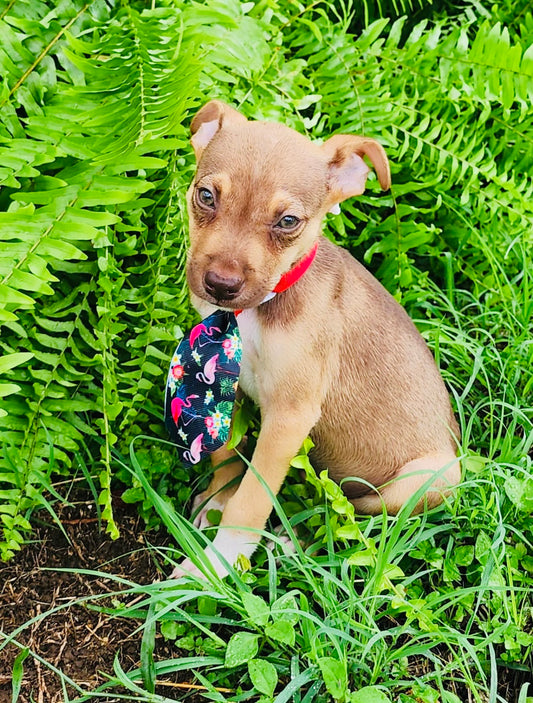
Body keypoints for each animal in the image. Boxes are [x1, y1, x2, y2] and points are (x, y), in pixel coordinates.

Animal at [172, 102, 460, 580]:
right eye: (206, 196)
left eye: (288, 221)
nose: (220, 285)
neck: (257, 314)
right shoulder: (227, 385)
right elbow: (227, 456)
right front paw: (216, 503)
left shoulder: (291, 415)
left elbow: (252, 501)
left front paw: (217, 563)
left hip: (427, 480)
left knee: (359, 522)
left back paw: (292, 543)